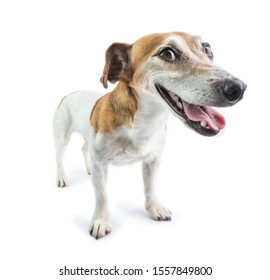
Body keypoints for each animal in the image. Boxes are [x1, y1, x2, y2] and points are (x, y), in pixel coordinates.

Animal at [52, 32, 247, 238]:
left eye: (207, 49)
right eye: (168, 53)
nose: (238, 87)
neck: (143, 123)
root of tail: (70, 94)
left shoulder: (153, 160)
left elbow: (150, 186)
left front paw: (155, 208)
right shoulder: (100, 164)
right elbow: (102, 196)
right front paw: (100, 221)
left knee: (84, 148)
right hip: (61, 137)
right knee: (60, 158)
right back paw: (61, 177)